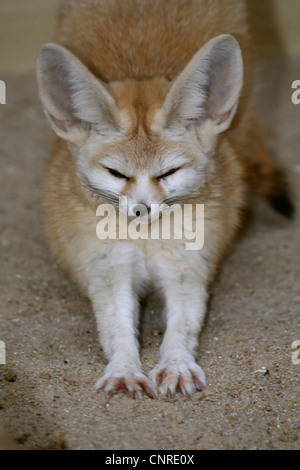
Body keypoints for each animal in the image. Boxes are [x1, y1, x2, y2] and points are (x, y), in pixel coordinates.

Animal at [36, 0, 294, 398]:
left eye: (168, 173)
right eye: (117, 173)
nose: (141, 210)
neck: (146, 239)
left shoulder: (187, 269)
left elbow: (183, 326)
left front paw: (176, 365)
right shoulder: (107, 271)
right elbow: (117, 330)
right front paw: (125, 370)